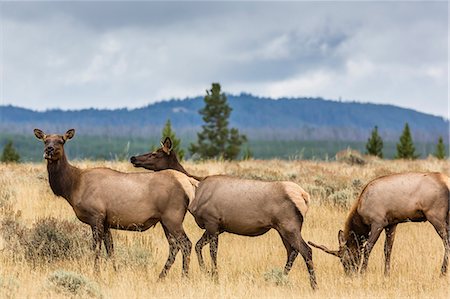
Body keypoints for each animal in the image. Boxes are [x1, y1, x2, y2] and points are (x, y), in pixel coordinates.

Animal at [34, 129, 196, 278]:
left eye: (61, 141)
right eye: (45, 140)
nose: (49, 150)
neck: (72, 187)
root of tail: (188, 182)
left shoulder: (96, 216)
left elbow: (96, 249)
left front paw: (96, 273)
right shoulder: (106, 221)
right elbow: (110, 250)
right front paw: (115, 272)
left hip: (172, 217)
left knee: (186, 244)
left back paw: (184, 276)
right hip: (164, 220)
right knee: (174, 246)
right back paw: (161, 276)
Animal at [128, 138, 318, 290]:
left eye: (155, 154)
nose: (133, 158)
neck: (196, 191)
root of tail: (304, 196)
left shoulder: (212, 221)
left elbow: (212, 251)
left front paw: (214, 275)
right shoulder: (218, 227)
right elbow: (199, 246)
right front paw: (206, 272)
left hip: (289, 225)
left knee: (306, 250)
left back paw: (313, 285)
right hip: (281, 228)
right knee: (292, 251)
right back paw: (280, 279)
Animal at [310, 172, 450, 278]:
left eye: (345, 259)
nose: (350, 274)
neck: (360, 213)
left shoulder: (377, 222)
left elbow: (368, 248)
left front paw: (363, 273)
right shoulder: (392, 224)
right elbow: (387, 249)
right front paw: (386, 274)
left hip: (436, 216)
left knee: (447, 242)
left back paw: (442, 272)